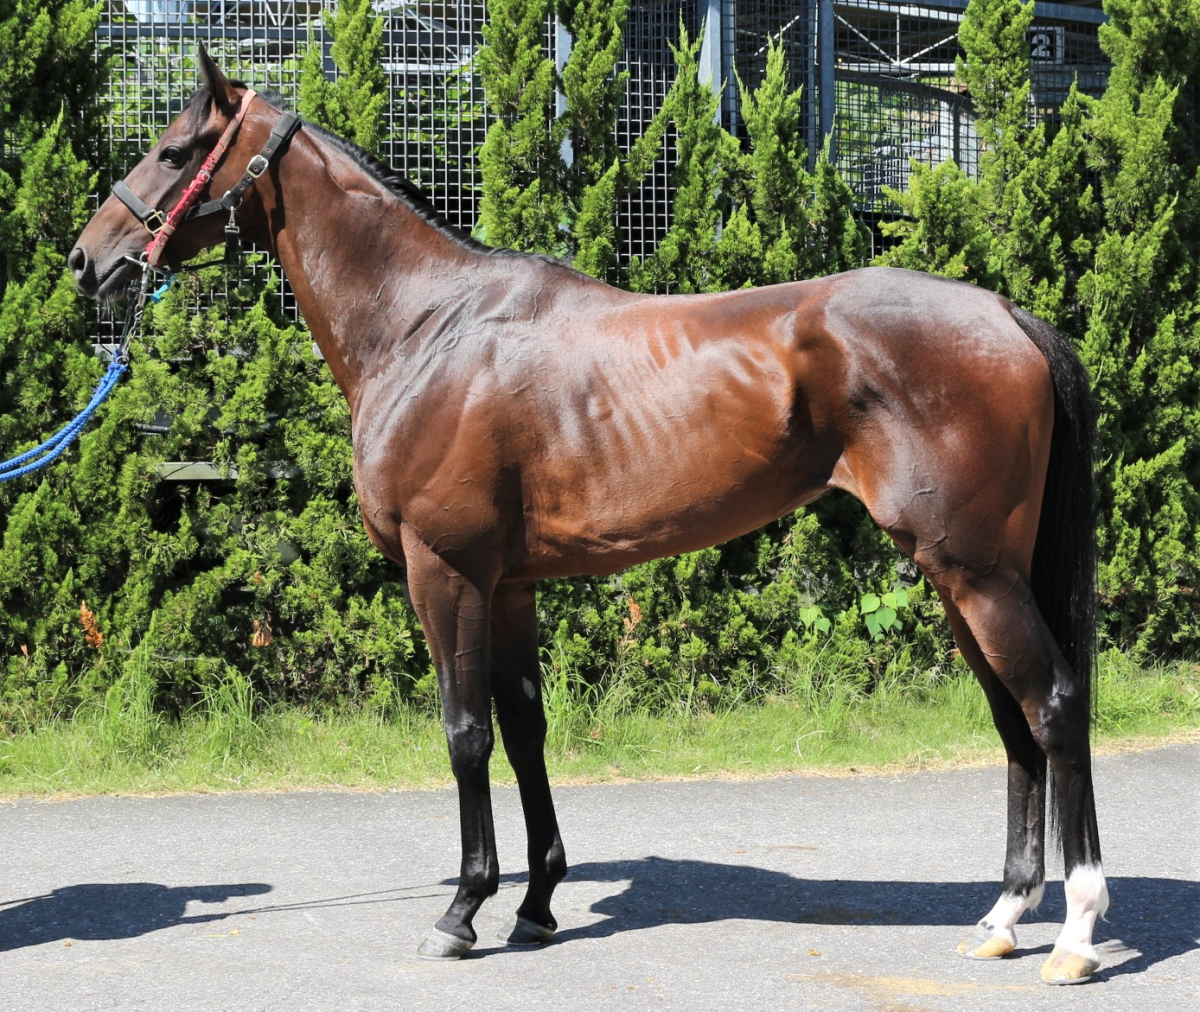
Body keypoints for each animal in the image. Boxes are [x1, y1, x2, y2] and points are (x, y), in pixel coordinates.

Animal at [70, 52, 1107, 983]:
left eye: (172, 150)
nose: (88, 260)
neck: (427, 327)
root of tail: (1008, 315)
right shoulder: (511, 584)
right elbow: (526, 727)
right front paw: (534, 904)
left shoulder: (444, 570)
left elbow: (465, 731)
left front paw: (462, 911)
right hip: (966, 574)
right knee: (1013, 718)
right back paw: (1002, 919)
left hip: (974, 570)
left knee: (1053, 706)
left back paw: (1075, 933)